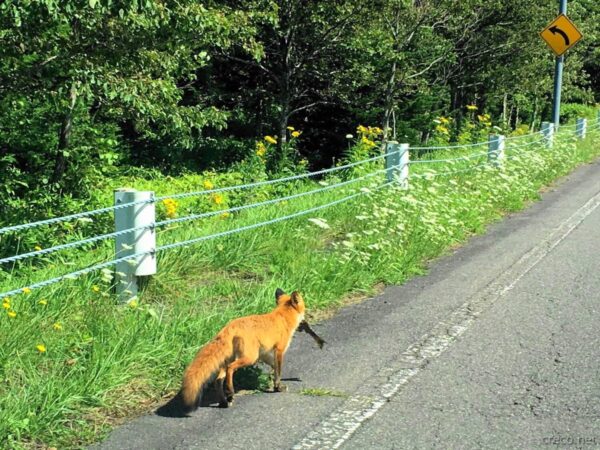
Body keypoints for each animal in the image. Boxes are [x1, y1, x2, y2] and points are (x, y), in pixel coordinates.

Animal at [179, 288, 308, 412]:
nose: (305, 321)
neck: (282, 317)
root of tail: (229, 327)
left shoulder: (264, 353)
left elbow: (274, 367)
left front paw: (273, 382)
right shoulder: (279, 350)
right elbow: (278, 372)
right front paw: (278, 387)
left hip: (234, 359)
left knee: (218, 380)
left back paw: (224, 401)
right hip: (249, 358)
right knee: (230, 368)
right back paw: (230, 392)